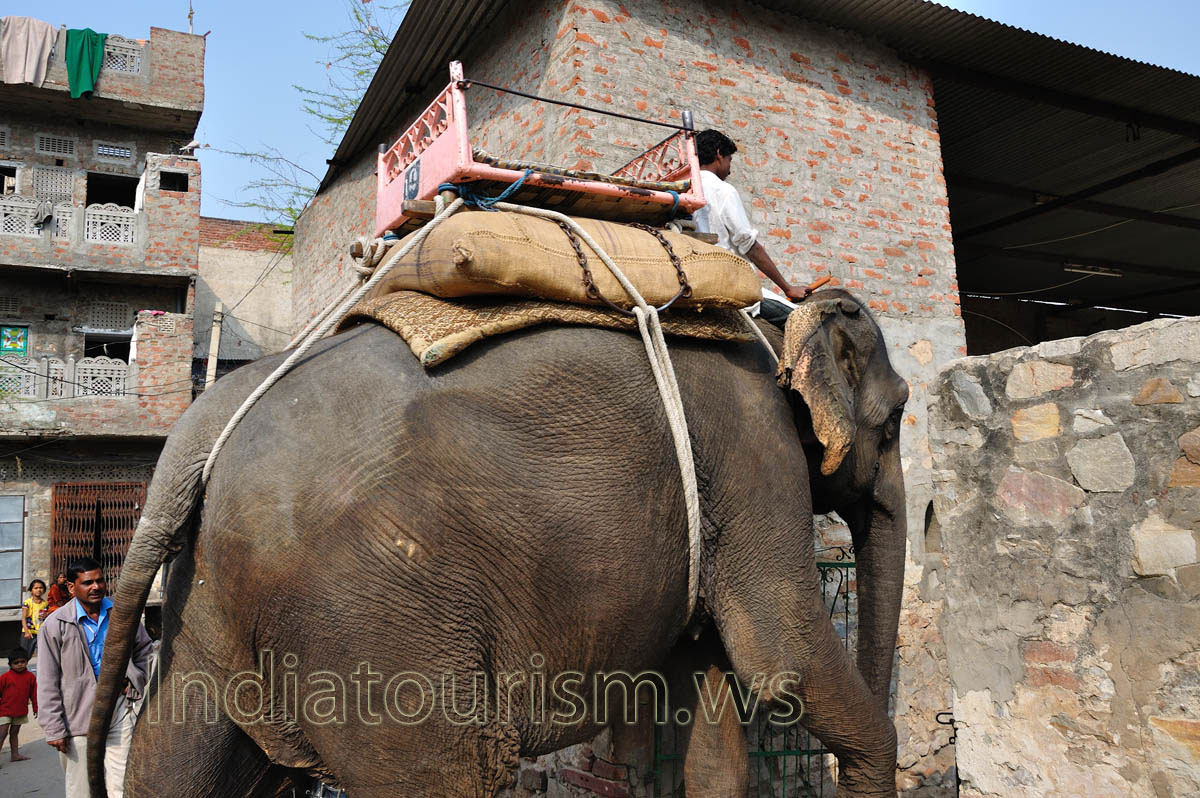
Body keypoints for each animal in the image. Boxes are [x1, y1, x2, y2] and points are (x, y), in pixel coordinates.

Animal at [89, 289, 909, 798]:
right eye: (900, 414)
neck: (774, 322)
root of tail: (198, 431)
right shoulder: (755, 457)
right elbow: (784, 663)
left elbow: (709, 705)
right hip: (370, 617)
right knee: (453, 770)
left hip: (206, 611)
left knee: (176, 762)